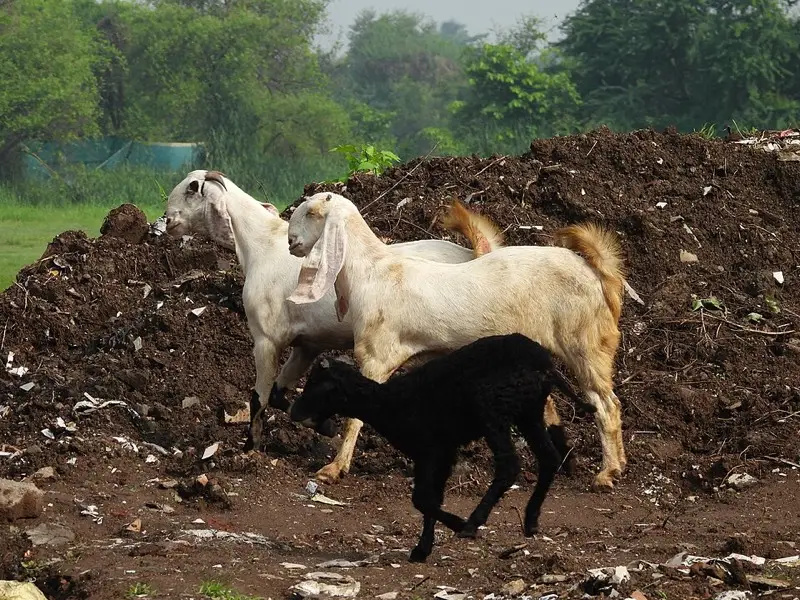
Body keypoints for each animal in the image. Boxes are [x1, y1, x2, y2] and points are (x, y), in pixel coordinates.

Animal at [164, 171, 505, 448]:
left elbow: (259, 397)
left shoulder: (266, 339)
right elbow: (278, 394)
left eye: (191, 188)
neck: (262, 246)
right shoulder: (309, 344)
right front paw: (322, 425)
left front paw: (251, 448)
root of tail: (476, 252)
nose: (167, 220)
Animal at [286, 192, 627, 491]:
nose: (291, 242)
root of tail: (596, 273)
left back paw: (607, 473)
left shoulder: (376, 354)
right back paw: (613, 464)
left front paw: (333, 469)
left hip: (585, 342)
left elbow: (355, 416)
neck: (371, 273)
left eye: (313, 213)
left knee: (605, 404)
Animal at [290, 333, 596, 562]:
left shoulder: (429, 451)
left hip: (493, 409)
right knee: (549, 458)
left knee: (509, 465)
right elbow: (432, 499)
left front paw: (456, 526)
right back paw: (531, 520)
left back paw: (473, 523)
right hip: (529, 412)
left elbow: (422, 499)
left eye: (315, 384)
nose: (293, 411)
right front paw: (422, 549)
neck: (387, 403)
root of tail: (544, 364)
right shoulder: (443, 453)